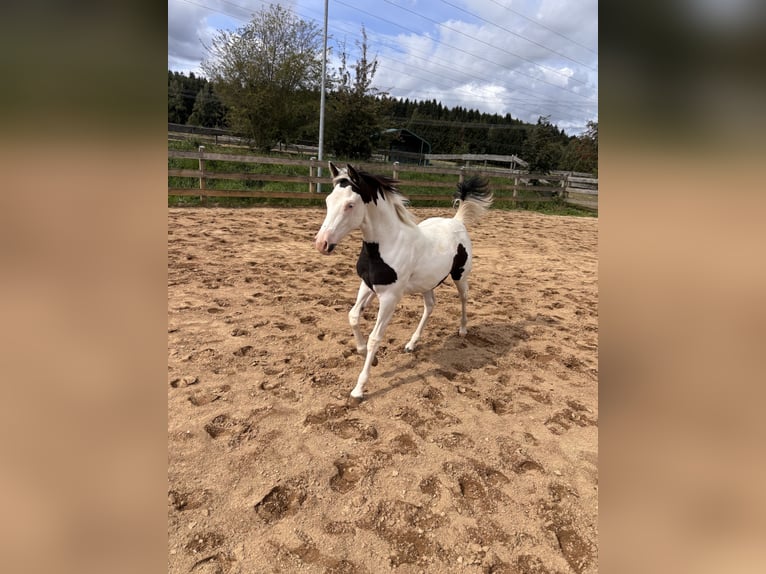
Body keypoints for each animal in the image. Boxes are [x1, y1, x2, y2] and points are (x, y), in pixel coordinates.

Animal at [314, 162, 493, 402]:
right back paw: (411, 344)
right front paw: (365, 354)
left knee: (464, 298)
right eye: (328, 200)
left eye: (350, 205)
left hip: (460, 276)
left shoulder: (390, 298)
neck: (386, 245)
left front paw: (359, 388)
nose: (322, 244)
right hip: (427, 283)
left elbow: (375, 338)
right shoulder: (368, 286)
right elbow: (352, 316)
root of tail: (457, 220)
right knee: (430, 306)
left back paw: (463, 330)